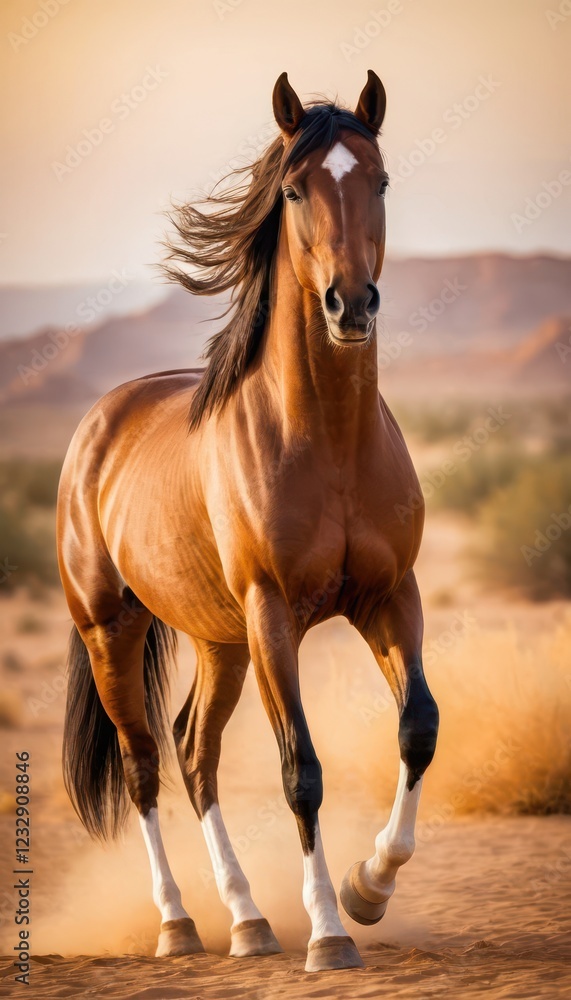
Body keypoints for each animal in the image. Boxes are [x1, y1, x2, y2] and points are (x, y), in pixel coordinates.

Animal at [57, 70, 439, 973]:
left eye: (380, 182)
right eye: (295, 189)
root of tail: (99, 425)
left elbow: (418, 728)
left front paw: (371, 887)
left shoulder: (390, 597)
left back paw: (248, 920)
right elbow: (301, 768)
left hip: (218, 641)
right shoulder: (274, 616)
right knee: (145, 766)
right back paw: (179, 924)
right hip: (113, 631)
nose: (350, 305)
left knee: (196, 751)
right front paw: (331, 932)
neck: (328, 438)